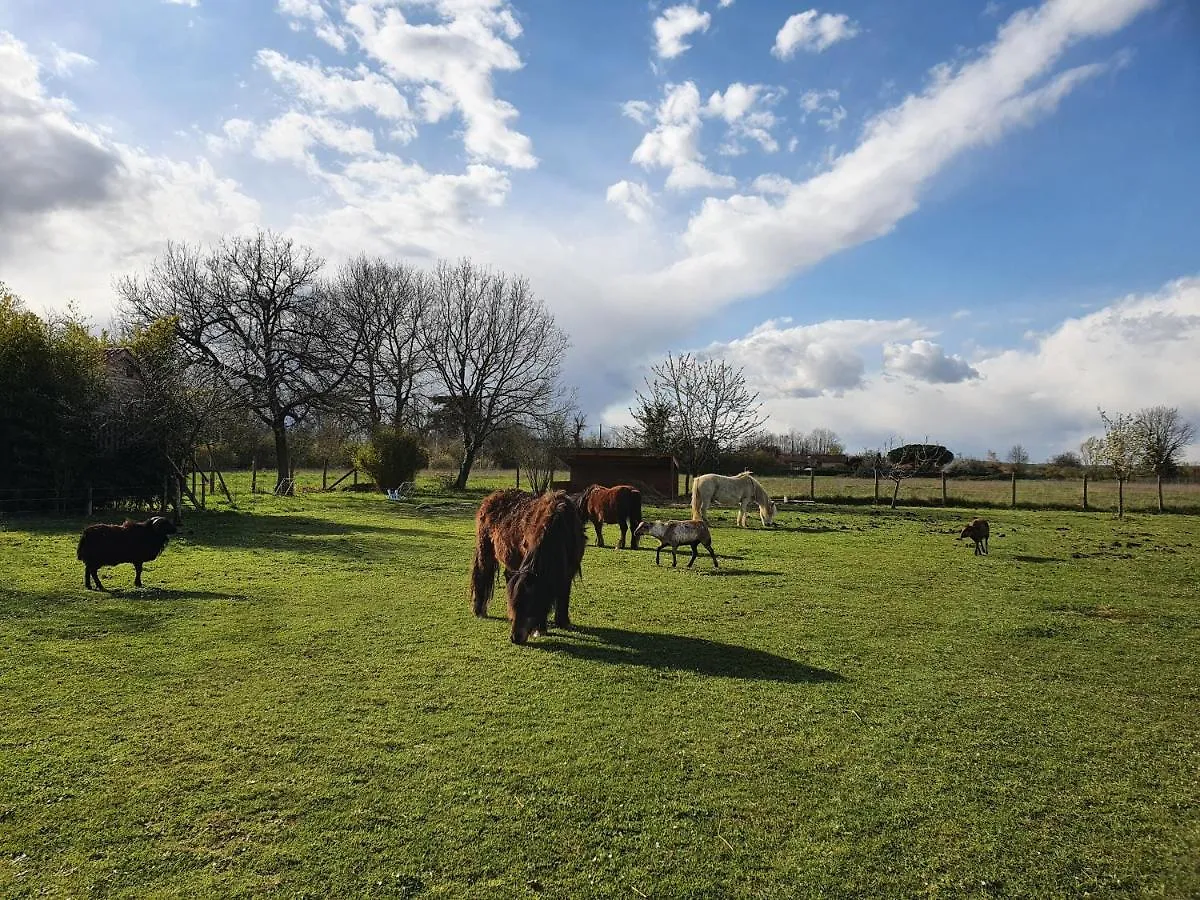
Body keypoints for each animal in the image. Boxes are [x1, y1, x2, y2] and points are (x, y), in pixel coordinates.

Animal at [468, 489, 585, 643]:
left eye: (530, 604)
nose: (515, 638)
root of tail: (490, 498)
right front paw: (540, 629)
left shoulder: (568, 572)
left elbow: (563, 594)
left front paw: (563, 622)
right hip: (485, 549)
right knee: (481, 575)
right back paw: (479, 610)